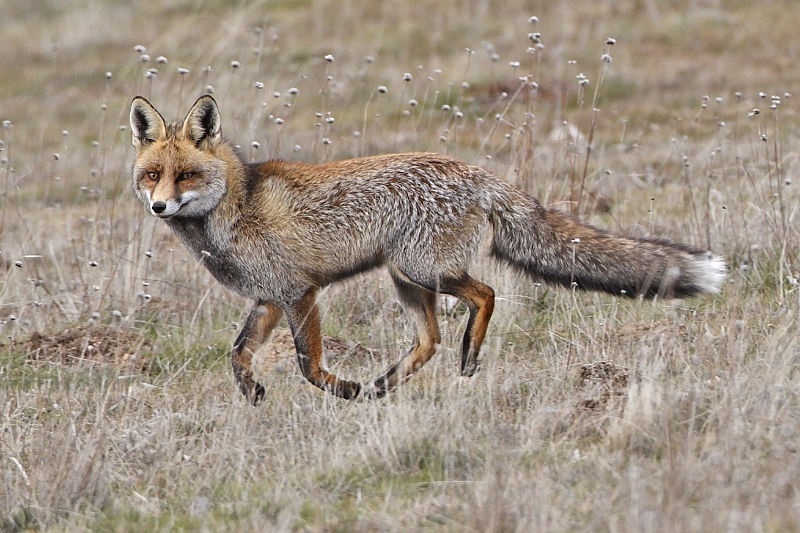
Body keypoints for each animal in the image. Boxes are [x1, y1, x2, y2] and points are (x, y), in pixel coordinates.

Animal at [130, 94, 724, 404]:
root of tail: (475, 172)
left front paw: (341, 390)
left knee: (484, 296)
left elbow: (306, 363)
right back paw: (384, 385)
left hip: (422, 269)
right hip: (407, 279)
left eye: (186, 176)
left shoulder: (300, 292)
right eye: (153, 175)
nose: (159, 207)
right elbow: (237, 353)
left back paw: (465, 357)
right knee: (430, 339)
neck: (236, 205)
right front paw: (254, 393)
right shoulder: (270, 298)